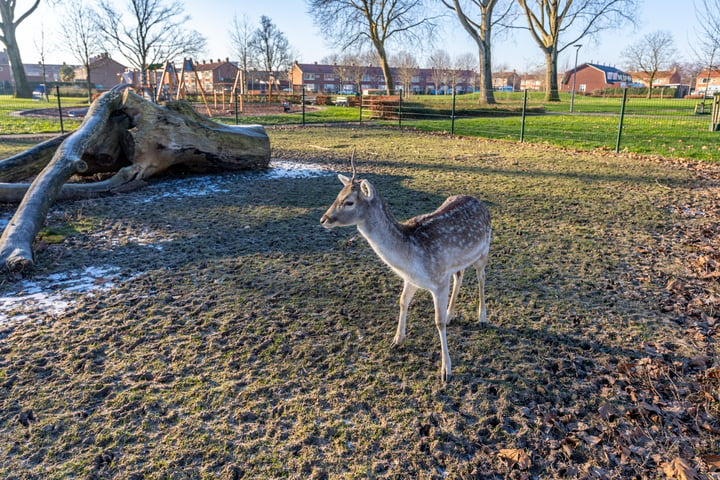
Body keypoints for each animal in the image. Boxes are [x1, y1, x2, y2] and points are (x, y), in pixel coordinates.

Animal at [320, 161, 490, 382]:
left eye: (349, 202)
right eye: (337, 195)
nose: (324, 219)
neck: (410, 258)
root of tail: (481, 202)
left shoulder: (439, 280)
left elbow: (438, 322)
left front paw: (446, 370)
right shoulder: (412, 279)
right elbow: (402, 301)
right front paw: (397, 339)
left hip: (484, 249)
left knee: (481, 277)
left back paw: (482, 318)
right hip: (458, 261)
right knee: (459, 276)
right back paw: (451, 314)